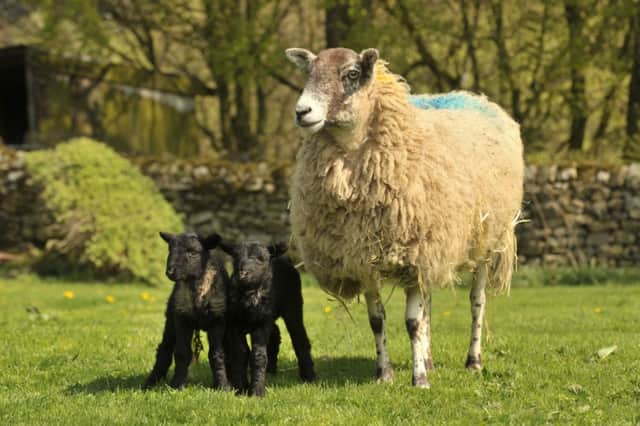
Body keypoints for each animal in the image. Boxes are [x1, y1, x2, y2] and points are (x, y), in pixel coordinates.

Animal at [142, 231, 230, 392]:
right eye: (170, 249)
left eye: (193, 252)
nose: (170, 272)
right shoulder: (181, 318)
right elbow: (182, 353)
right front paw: (177, 385)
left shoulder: (218, 319)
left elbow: (217, 354)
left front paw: (222, 386)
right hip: (170, 319)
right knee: (164, 349)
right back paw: (150, 383)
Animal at [211, 235, 316, 398]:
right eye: (236, 258)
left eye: (261, 259)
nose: (243, 273)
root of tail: (282, 260)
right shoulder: (235, 323)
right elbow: (240, 353)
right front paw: (241, 388)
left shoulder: (262, 323)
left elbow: (258, 355)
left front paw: (256, 391)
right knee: (276, 333)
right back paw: (271, 370)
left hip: (293, 305)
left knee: (299, 339)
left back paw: (309, 376)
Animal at [286, 45, 524, 386]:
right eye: (309, 72)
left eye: (351, 74)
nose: (302, 111)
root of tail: (472, 96)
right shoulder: (361, 256)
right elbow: (377, 320)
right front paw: (385, 374)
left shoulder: (414, 253)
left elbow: (412, 322)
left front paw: (419, 379)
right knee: (430, 308)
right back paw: (430, 360)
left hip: (486, 240)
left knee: (476, 302)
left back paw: (473, 361)